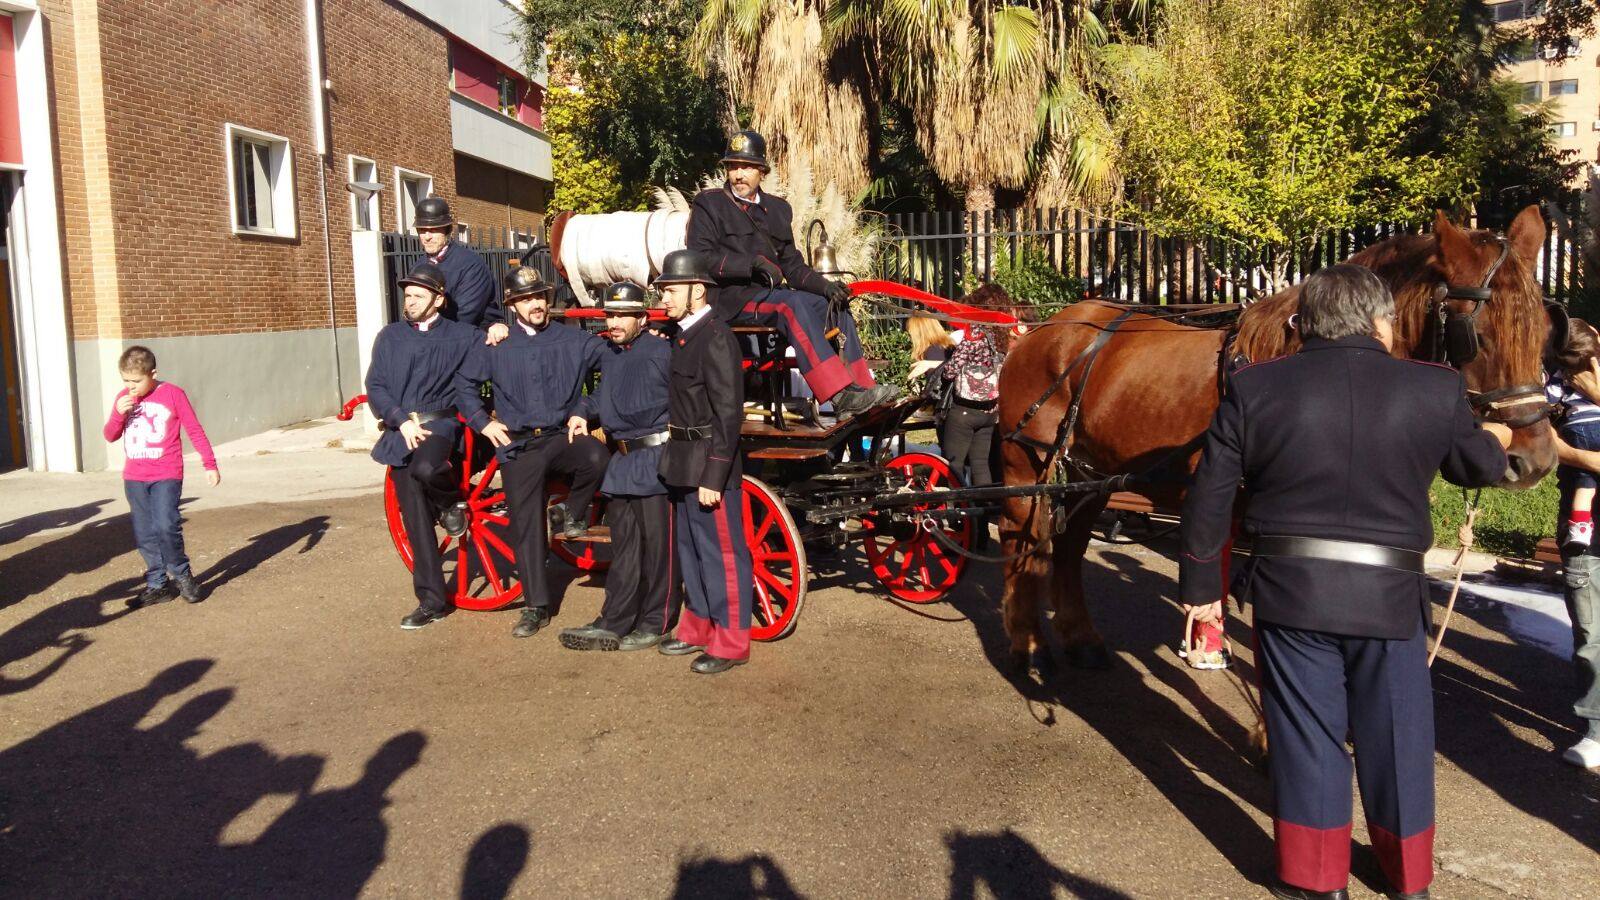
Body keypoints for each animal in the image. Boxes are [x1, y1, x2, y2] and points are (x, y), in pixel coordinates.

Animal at [992, 203, 1555, 669]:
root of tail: (1043, 330)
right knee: (1019, 540)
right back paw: (1025, 642)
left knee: (1067, 549)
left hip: (1090, 476)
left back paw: (1080, 638)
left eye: (1544, 331)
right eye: (1476, 335)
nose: (1535, 460)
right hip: (1028, 467)